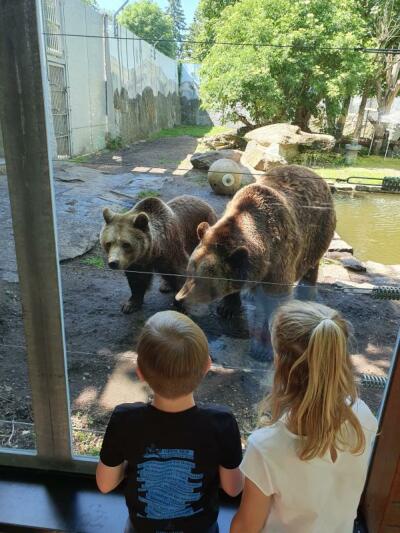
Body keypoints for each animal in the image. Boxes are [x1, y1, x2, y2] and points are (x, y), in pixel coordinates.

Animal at [177, 164, 336, 318]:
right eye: (189, 271)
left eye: (203, 279)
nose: (179, 299)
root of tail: (313, 172)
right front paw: (227, 308)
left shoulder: (280, 258)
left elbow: (277, 296)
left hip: (318, 229)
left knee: (312, 262)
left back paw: (307, 292)